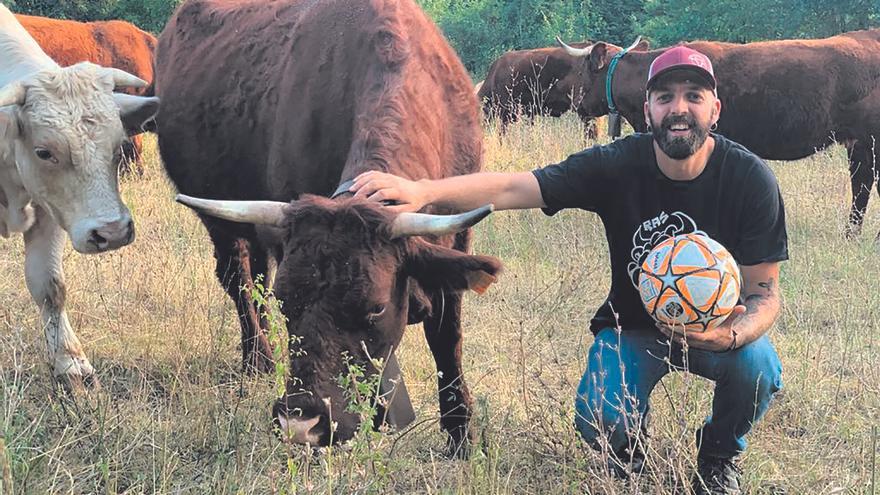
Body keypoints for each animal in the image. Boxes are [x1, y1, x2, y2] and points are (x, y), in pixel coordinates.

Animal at [156, 0, 506, 456]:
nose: (301, 424)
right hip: (220, 222)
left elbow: (447, 338)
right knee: (240, 282)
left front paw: (461, 435)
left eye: (376, 307)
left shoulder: (456, 242)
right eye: (289, 302)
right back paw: (259, 359)